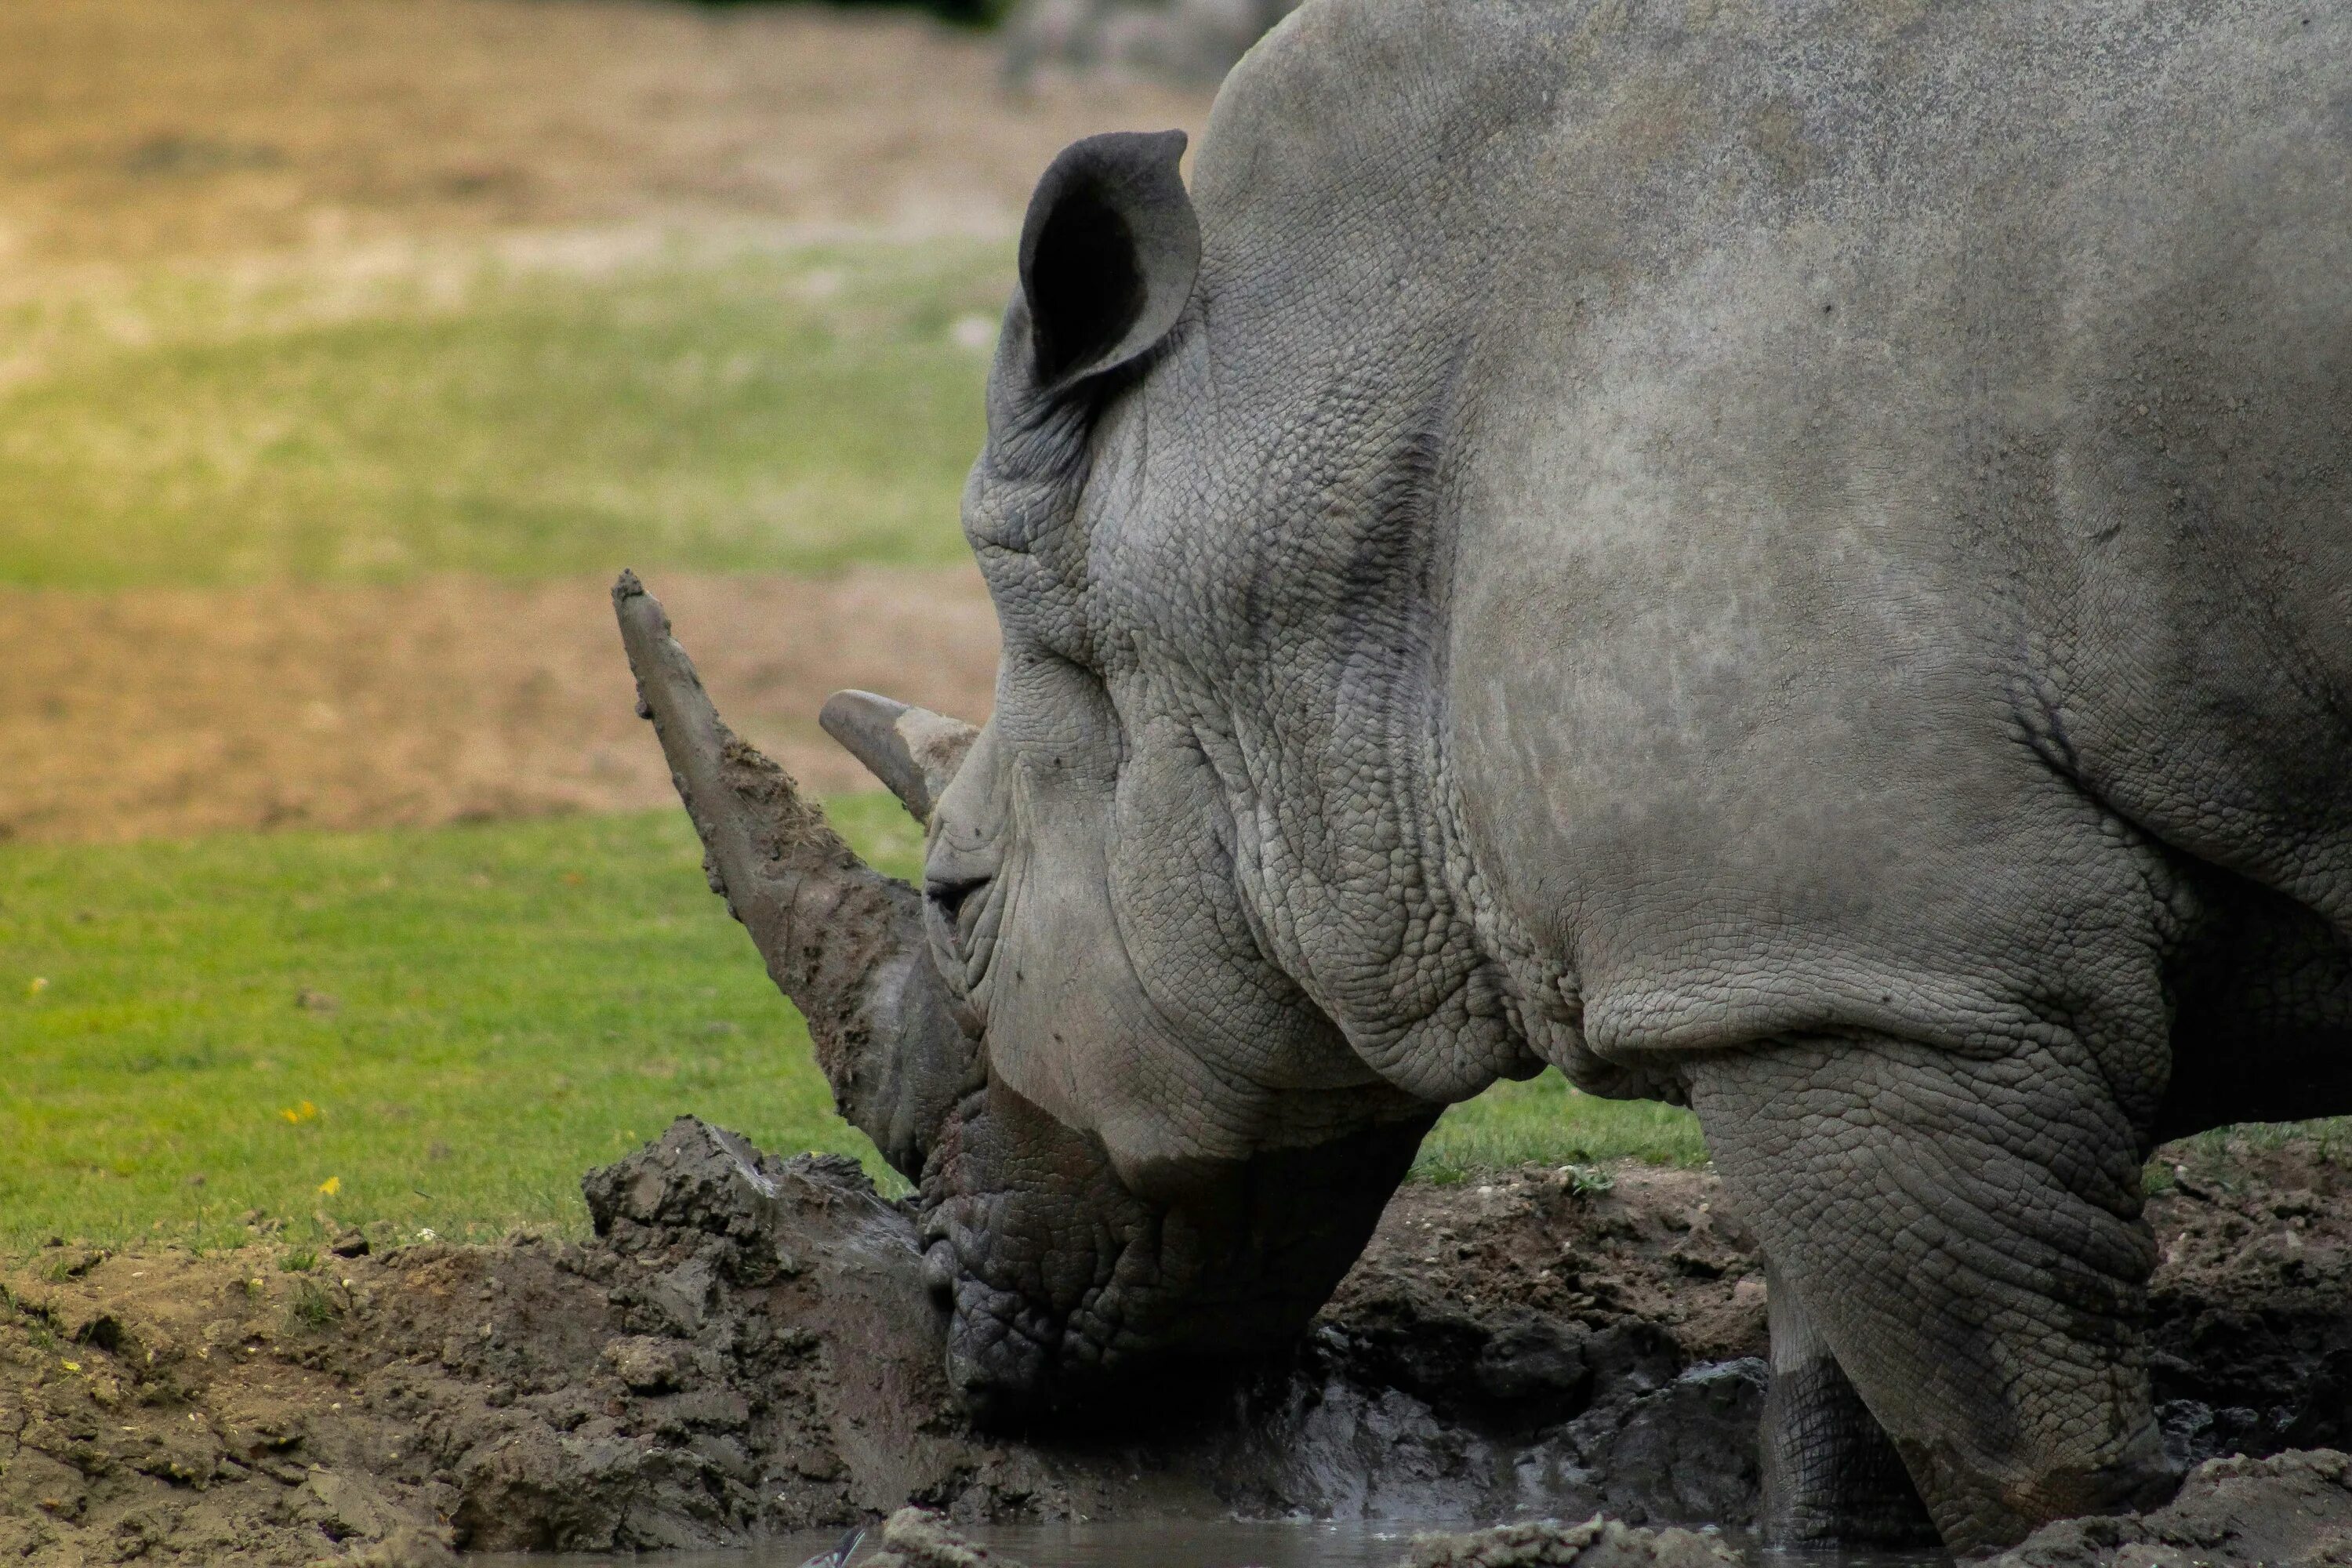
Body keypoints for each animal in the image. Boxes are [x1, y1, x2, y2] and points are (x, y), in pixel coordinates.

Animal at [621, 0, 2352, 1552]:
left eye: (956, 896)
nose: (936, 1304)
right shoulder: (1807, 968)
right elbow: (1837, 1384)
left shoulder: (1890, 977)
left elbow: (2012, 1442)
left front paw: (2105, 1527)